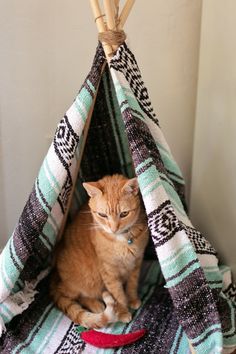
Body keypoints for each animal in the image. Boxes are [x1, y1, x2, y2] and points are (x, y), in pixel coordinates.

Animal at [50, 175, 148, 330]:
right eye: (102, 215)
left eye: (124, 213)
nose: (113, 228)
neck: (122, 240)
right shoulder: (108, 272)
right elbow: (118, 295)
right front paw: (123, 312)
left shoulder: (136, 262)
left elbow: (132, 285)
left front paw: (132, 299)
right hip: (88, 278)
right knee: (73, 295)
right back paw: (96, 305)